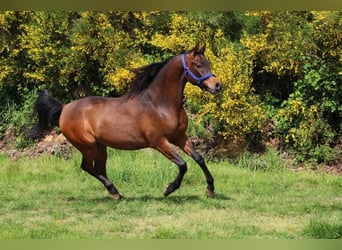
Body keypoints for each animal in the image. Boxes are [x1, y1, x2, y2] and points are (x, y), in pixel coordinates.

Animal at [28, 44, 222, 200]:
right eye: (198, 65)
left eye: (208, 63)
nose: (218, 85)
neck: (160, 104)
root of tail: (64, 108)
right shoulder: (159, 142)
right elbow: (183, 164)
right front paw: (168, 189)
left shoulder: (180, 137)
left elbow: (199, 158)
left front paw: (210, 189)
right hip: (87, 146)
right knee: (87, 167)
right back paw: (114, 192)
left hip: (100, 146)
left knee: (99, 169)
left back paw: (116, 194)